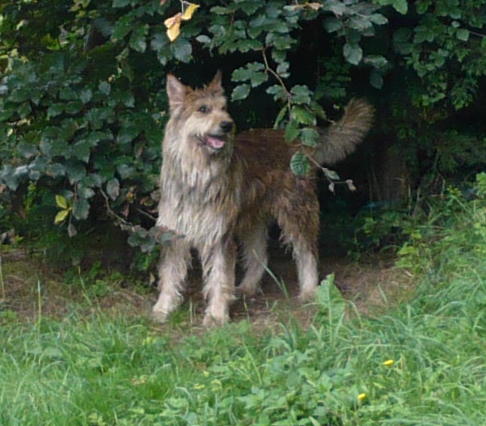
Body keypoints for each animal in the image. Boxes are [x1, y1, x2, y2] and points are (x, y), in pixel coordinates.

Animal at [154, 72, 374, 326]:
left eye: (223, 108)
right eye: (203, 109)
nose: (227, 125)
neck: (196, 174)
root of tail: (298, 140)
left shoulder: (219, 235)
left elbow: (219, 277)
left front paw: (217, 315)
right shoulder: (174, 234)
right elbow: (169, 274)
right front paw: (163, 308)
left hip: (297, 210)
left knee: (307, 252)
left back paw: (309, 290)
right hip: (253, 217)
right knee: (259, 253)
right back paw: (247, 287)